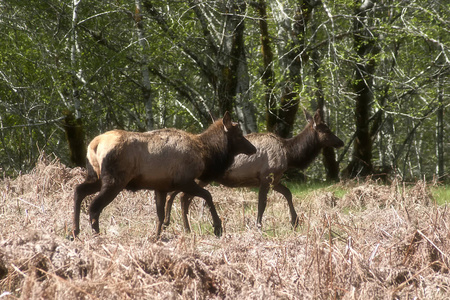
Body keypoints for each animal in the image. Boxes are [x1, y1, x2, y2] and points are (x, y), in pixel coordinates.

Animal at [72, 111, 255, 238]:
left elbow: (159, 215)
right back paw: (96, 235)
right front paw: (217, 227)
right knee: (94, 206)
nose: (253, 148)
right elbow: (207, 195)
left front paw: (157, 236)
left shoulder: (160, 187)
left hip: (95, 176)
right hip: (114, 180)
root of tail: (94, 145)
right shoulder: (184, 180)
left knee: (78, 190)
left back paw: (75, 231)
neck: (206, 155)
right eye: (239, 135)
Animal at [165, 109, 344, 232]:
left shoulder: (274, 179)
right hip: (200, 177)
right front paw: (259, 226)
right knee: (183, 197)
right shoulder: (266, 177)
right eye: (327, 130)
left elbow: (288, 193)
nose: (341, 142)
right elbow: (262, 203)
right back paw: (183, 226)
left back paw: (172, 223)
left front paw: (294, 221)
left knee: (175, 195)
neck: (289, 155)